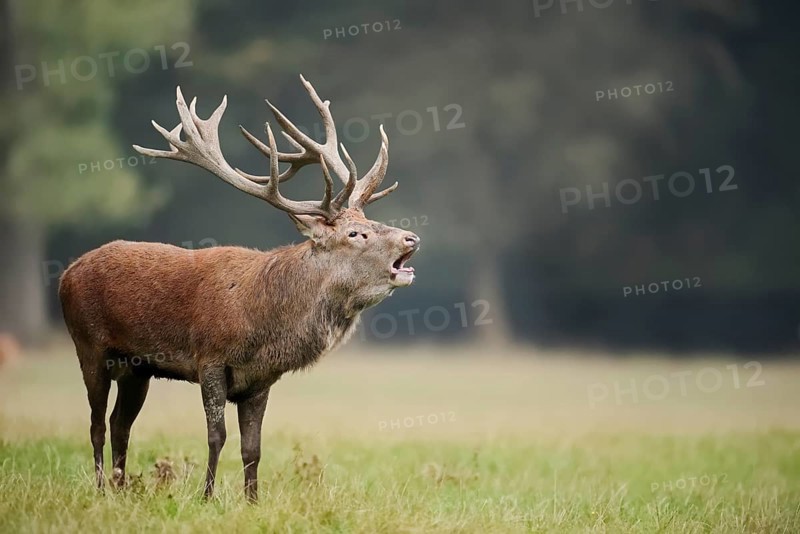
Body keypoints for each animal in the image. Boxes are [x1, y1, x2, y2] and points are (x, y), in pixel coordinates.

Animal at [58, 76, 420, 502]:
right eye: (356, 233)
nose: (411, 238)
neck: (263, 323)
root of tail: (67, 273)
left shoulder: (260, 380)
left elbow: (253, 447)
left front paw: (252, 500)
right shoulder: (210, 358)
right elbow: (217, 436)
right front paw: (207, 496)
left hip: (137, 368)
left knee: (120, 423)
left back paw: (120, 486)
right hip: (89, 346)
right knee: (97, 423)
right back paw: (101, 489)